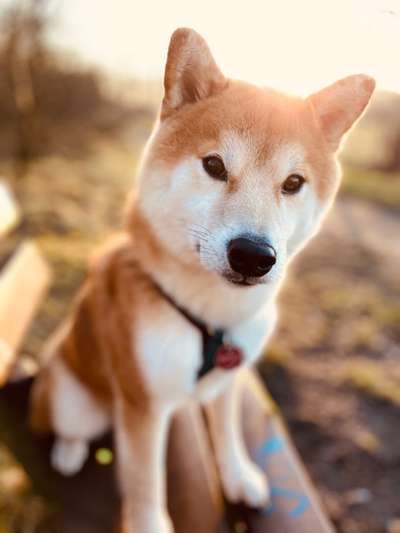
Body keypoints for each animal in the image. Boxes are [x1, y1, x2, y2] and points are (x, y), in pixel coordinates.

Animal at [28, 28, 376, 532]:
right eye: (214, 166)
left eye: (293, 183)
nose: (253, 256)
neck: (213, 316)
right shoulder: (142, 407)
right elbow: (146, 483)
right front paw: (150, 522)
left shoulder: (229, 379)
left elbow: (228, 432)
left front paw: (238, 476)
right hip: (75, 401)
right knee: (67, 426)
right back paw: (69, 452)